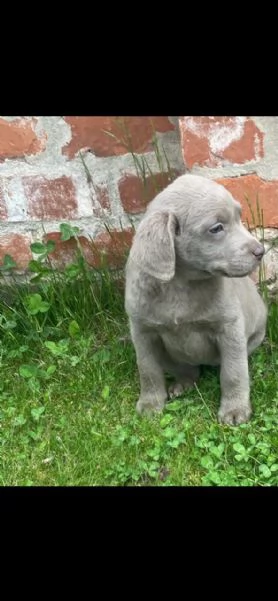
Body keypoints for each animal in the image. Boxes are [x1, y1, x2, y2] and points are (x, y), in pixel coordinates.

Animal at [125, 173, 268, 424]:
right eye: (217, 228)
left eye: (239, 216)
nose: (260, 251)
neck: (180, 285)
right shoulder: (141, 331)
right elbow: (148, 370)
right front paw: (150, 403)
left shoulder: (230, 329)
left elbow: (233, 372)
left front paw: (235, 409)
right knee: (185, 368)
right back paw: (183, 383)